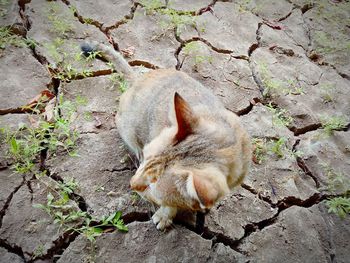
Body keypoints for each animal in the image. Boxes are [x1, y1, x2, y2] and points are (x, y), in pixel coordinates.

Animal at [82, 42, 252, 230]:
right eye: (146, 159)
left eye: (151, 186)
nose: (131, 184)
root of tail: (139, 79)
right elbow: (172, 204)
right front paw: (166, 214)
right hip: (127, 126)